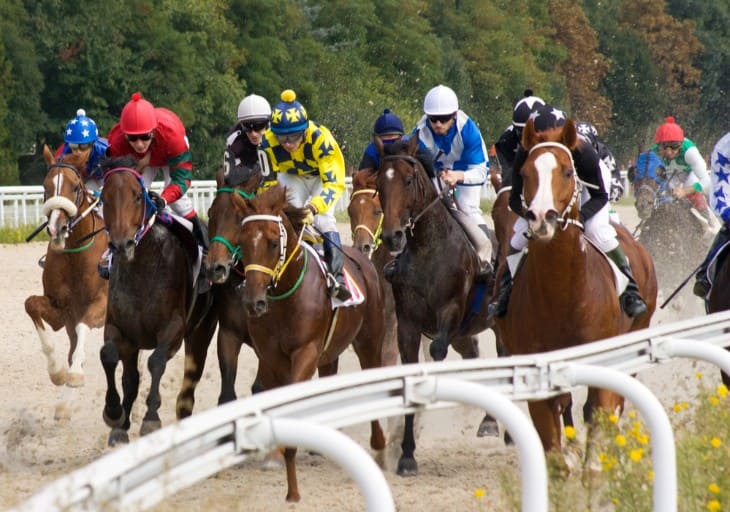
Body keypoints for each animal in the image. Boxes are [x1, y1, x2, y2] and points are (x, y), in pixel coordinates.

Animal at [24, 146, 109, 418]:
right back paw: (64, 407)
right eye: (45, 186)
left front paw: (74, 375)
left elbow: (84, 327)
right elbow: (31, 304)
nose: (56, 229)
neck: (76, 255)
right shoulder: (63, 312)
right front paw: (57, 371)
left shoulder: (102, 304)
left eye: (74, 187)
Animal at [99, 158, 216, 446]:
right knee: (130, 378)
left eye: (137, 196)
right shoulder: (120, 328)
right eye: (104, 198)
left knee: (191, 374)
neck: (142, 269)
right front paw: (114, 414)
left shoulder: (173, 328)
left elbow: (156, 361)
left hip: (202, 329)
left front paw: (151, 418)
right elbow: (110, 357)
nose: (121, 245)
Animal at [229, 185, 386, 504]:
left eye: (273, 242)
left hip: (369, 340)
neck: (287, 295)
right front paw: (277, 460)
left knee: (373, 371)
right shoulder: (270, 358)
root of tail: (362, 259)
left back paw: (379, 446)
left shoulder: (306, 352)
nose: (253, 301)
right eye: (242, 242)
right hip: (330, 351)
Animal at [376, 134, 490, 474]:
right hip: (466, 330)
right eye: (379, 182)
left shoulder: (448, 313)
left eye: (408, 179)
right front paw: (405, 453)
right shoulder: (408, 323)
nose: (392, 236)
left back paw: (492, 423)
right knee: (473, 353)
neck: (429, 248)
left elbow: (437, 352)